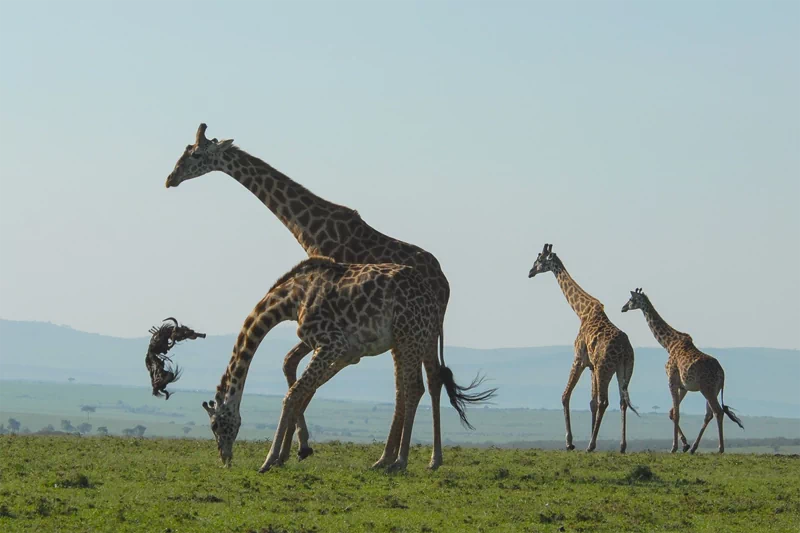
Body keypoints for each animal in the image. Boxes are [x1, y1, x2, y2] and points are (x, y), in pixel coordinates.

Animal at [200, 258, 494, 470]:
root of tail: (434, 300)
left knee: (413, 388)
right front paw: (294, 451)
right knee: (419, 386)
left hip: (409, 336)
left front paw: (270, 459)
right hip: (411, 339)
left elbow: (293, 393)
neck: (293, 298)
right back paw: (401, 459)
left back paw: (400, 461)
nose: (224, 457)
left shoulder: (333, 343)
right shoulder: (347, 352)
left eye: (215, 425)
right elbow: (303, 390)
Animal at [528, 243, 640, 450]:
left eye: (538, 259)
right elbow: (591, 402)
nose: (530, 272)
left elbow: (566, 396)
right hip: (624, 369)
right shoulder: (592, 366)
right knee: (622, 401)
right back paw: (621, 446)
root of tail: (625, 350)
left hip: (605, 368)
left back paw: (591, 445)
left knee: (605, 401)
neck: (582, 312)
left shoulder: (579, 359)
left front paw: (570, 442)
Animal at [620, 286, 744, 454]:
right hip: (714, 390)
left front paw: (674, 447)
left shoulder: (671, 381)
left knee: (718, 411)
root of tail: (722, 373)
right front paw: (685, 445)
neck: (669, 343)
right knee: (709, 414)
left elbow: (676, 413)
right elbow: (672, 412)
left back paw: (720, 448)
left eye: (631, 299)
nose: (623, 308)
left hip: (707, 389)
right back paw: (694, 447)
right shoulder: (683, 386)